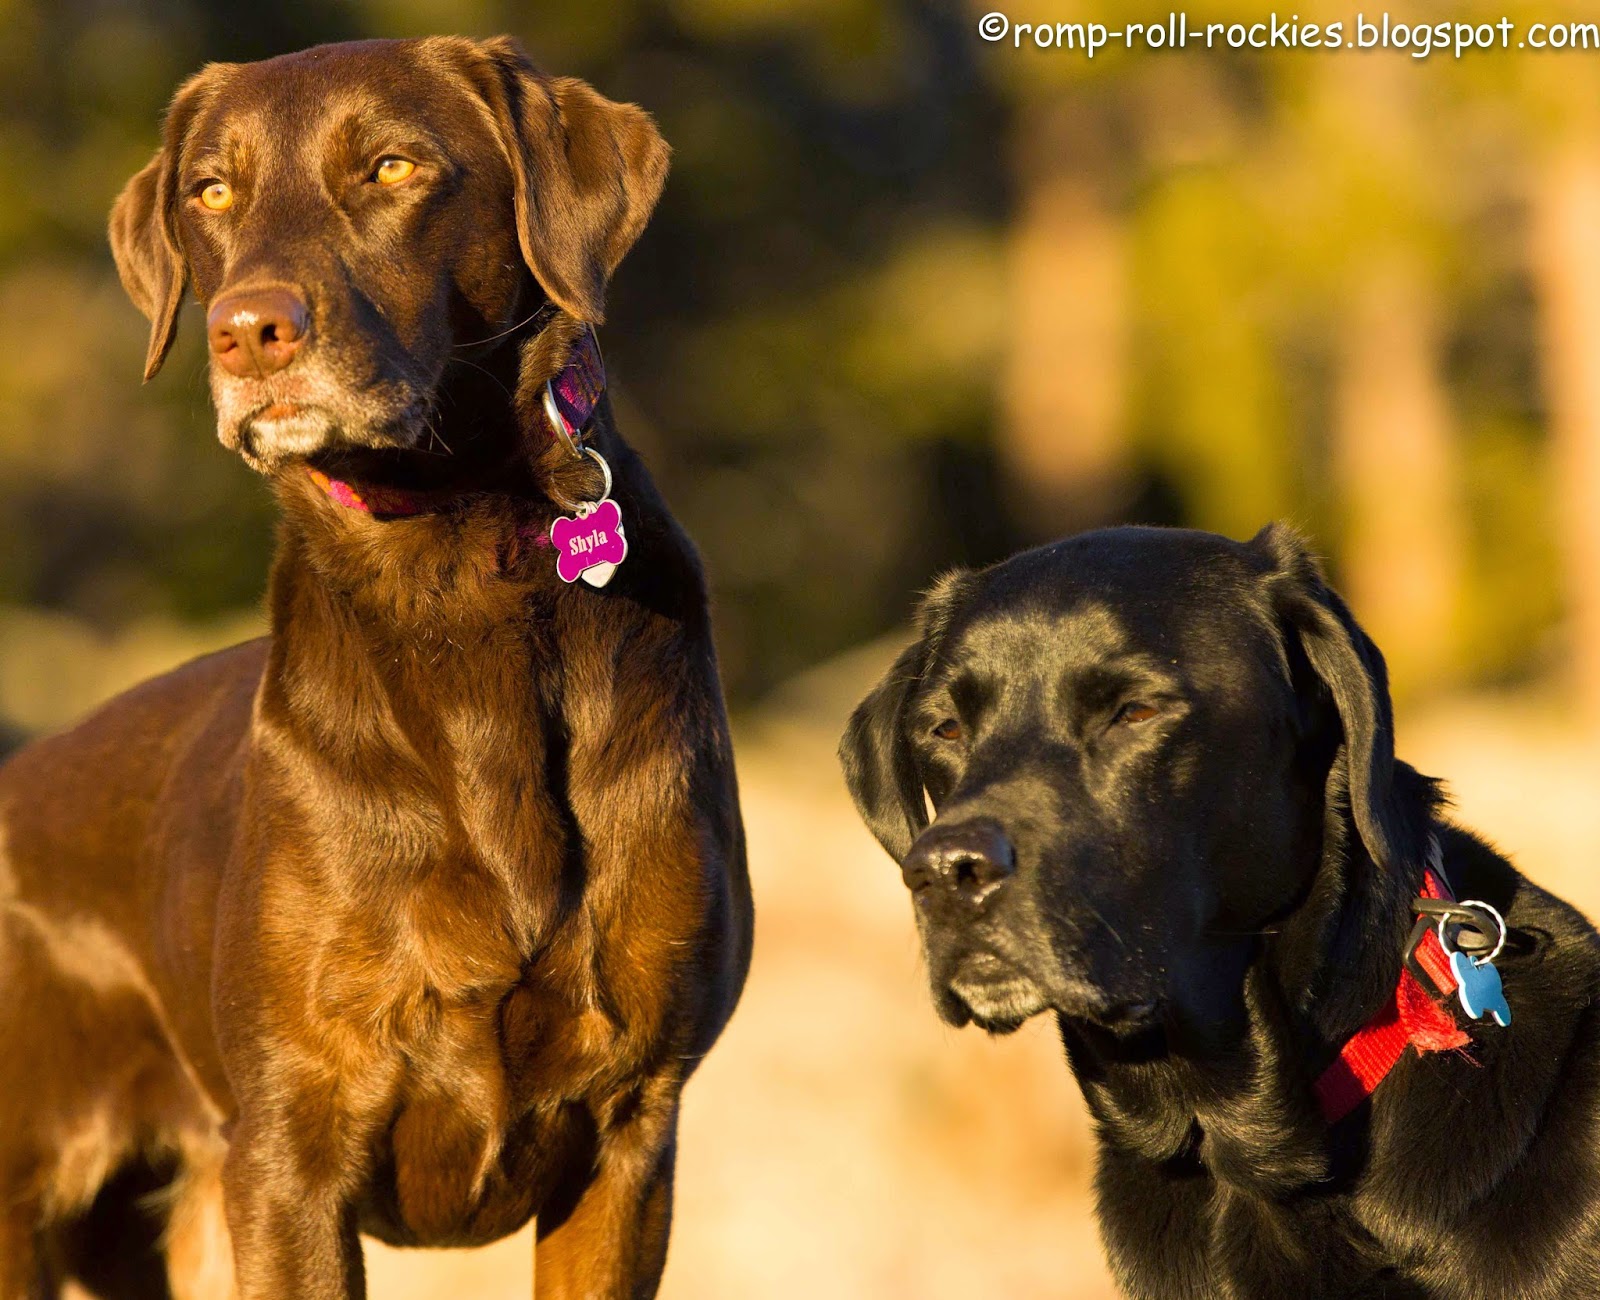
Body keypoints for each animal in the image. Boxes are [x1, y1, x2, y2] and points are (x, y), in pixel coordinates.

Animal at [0, 36, 751, 1300]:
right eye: (212, 191)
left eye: (393, 168)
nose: (247, 331)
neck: (456, 570)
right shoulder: (291, 1148)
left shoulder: (630, 1127)